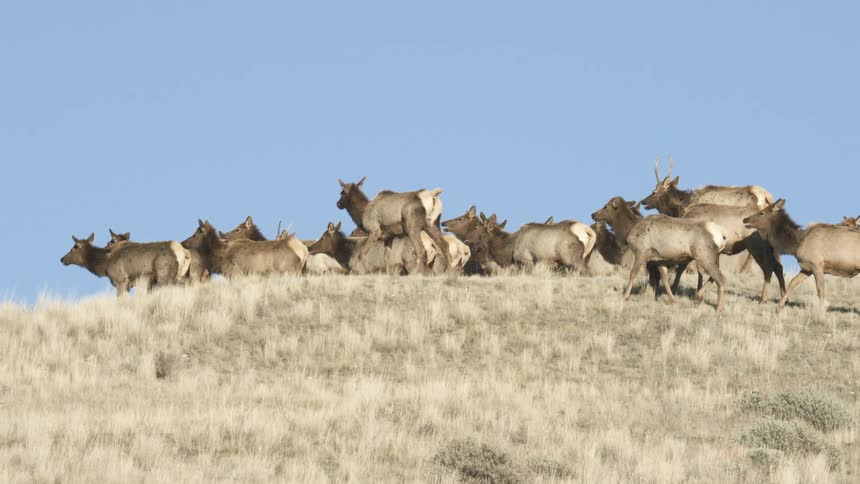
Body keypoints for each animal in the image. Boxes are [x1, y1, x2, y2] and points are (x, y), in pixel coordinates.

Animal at [61, 233, 191, 296]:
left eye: (74, 247)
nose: (62, 259)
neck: (104, 264)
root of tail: (184, 253)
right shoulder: (128, 285)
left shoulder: (120, 280)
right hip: (180, 274)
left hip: (164, 275)